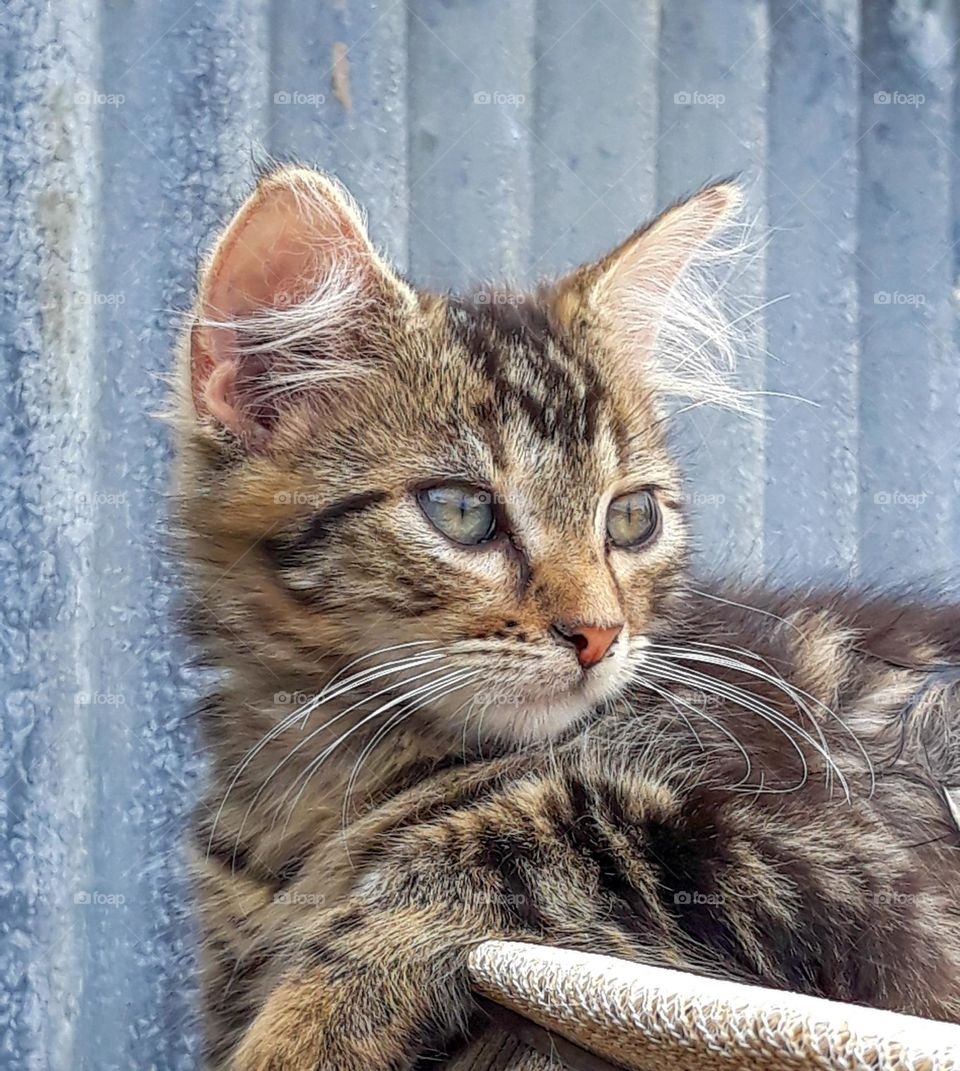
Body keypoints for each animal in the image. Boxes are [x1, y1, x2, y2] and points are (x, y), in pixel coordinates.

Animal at [174, 167, 960, 1071]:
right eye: (461, 511)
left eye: (631, 518)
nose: (599, 633)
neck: (331, 768)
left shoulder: (846, 861)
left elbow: (508, 840)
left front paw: (304, 1026)